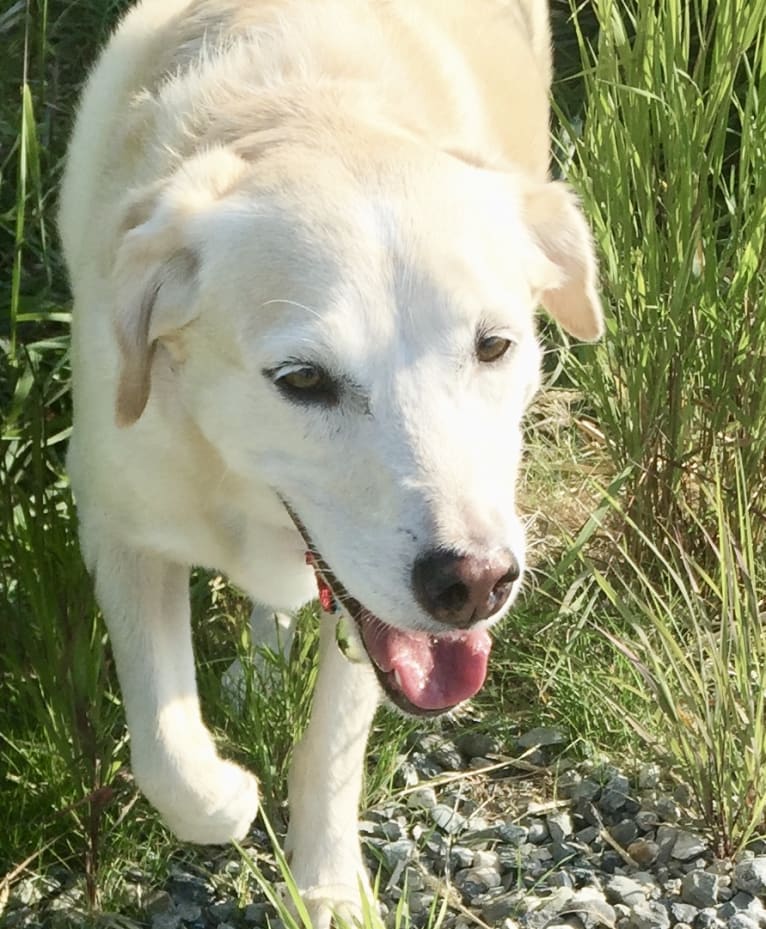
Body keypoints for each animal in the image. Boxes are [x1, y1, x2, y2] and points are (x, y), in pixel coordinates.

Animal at [57, 0, 604, 920]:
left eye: (495, 345)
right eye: (303, 380)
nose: (474, 584)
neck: (303, 105)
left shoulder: (377, 613)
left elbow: (332, 750)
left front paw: (327, 889)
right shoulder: (119, 522)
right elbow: (167, 748)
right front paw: (228, 794)